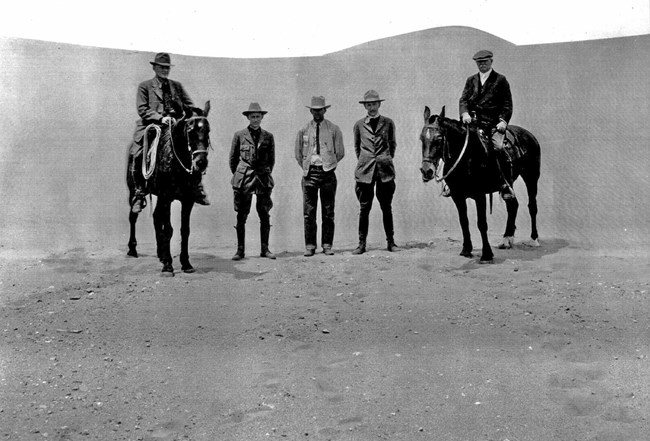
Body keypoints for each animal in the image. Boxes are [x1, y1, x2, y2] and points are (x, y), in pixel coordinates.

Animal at [124, 102, 210, 276]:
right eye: (190, 131)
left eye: (208, 131)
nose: (201, 162)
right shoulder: (166, 196)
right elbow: (169, 229)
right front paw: (168, 266)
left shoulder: (187, 200)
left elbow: (185, 230)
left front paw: (186, 263)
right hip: (134, 192)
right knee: (133, 216)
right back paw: (132, 249)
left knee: (156, 218)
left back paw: (161, 254)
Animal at [418, 105, 540, 262]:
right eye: (421, 138)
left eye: (439, 138)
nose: (426, 171)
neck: (468, 158)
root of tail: (529, 135)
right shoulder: (457, 196)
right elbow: (464, 221)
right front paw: (466, 249)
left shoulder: (480, 195)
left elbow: (482, 223)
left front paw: (487, 254)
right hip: (509, 184)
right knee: (513, 205)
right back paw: (507, 239)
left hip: (531, 177)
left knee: (532, 206)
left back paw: (534, 239)